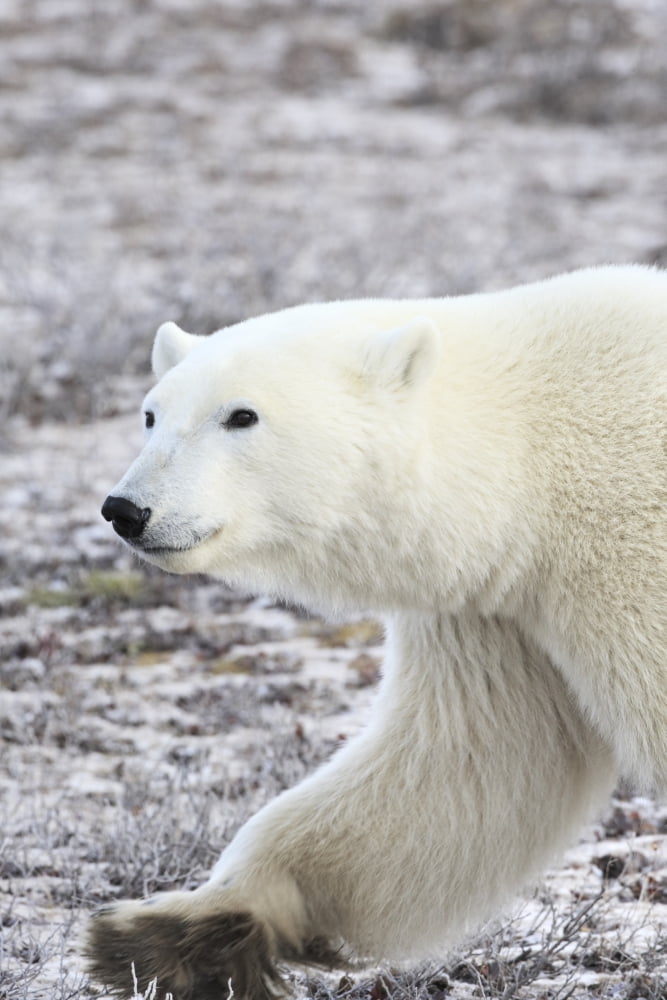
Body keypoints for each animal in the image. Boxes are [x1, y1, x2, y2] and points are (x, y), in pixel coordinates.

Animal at [88, 265, 666, 1000]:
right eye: (150, 413)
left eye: (241, 415)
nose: (126, 509)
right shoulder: (496, 609)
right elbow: (472, 762)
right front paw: (182, 931)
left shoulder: (626, 553)